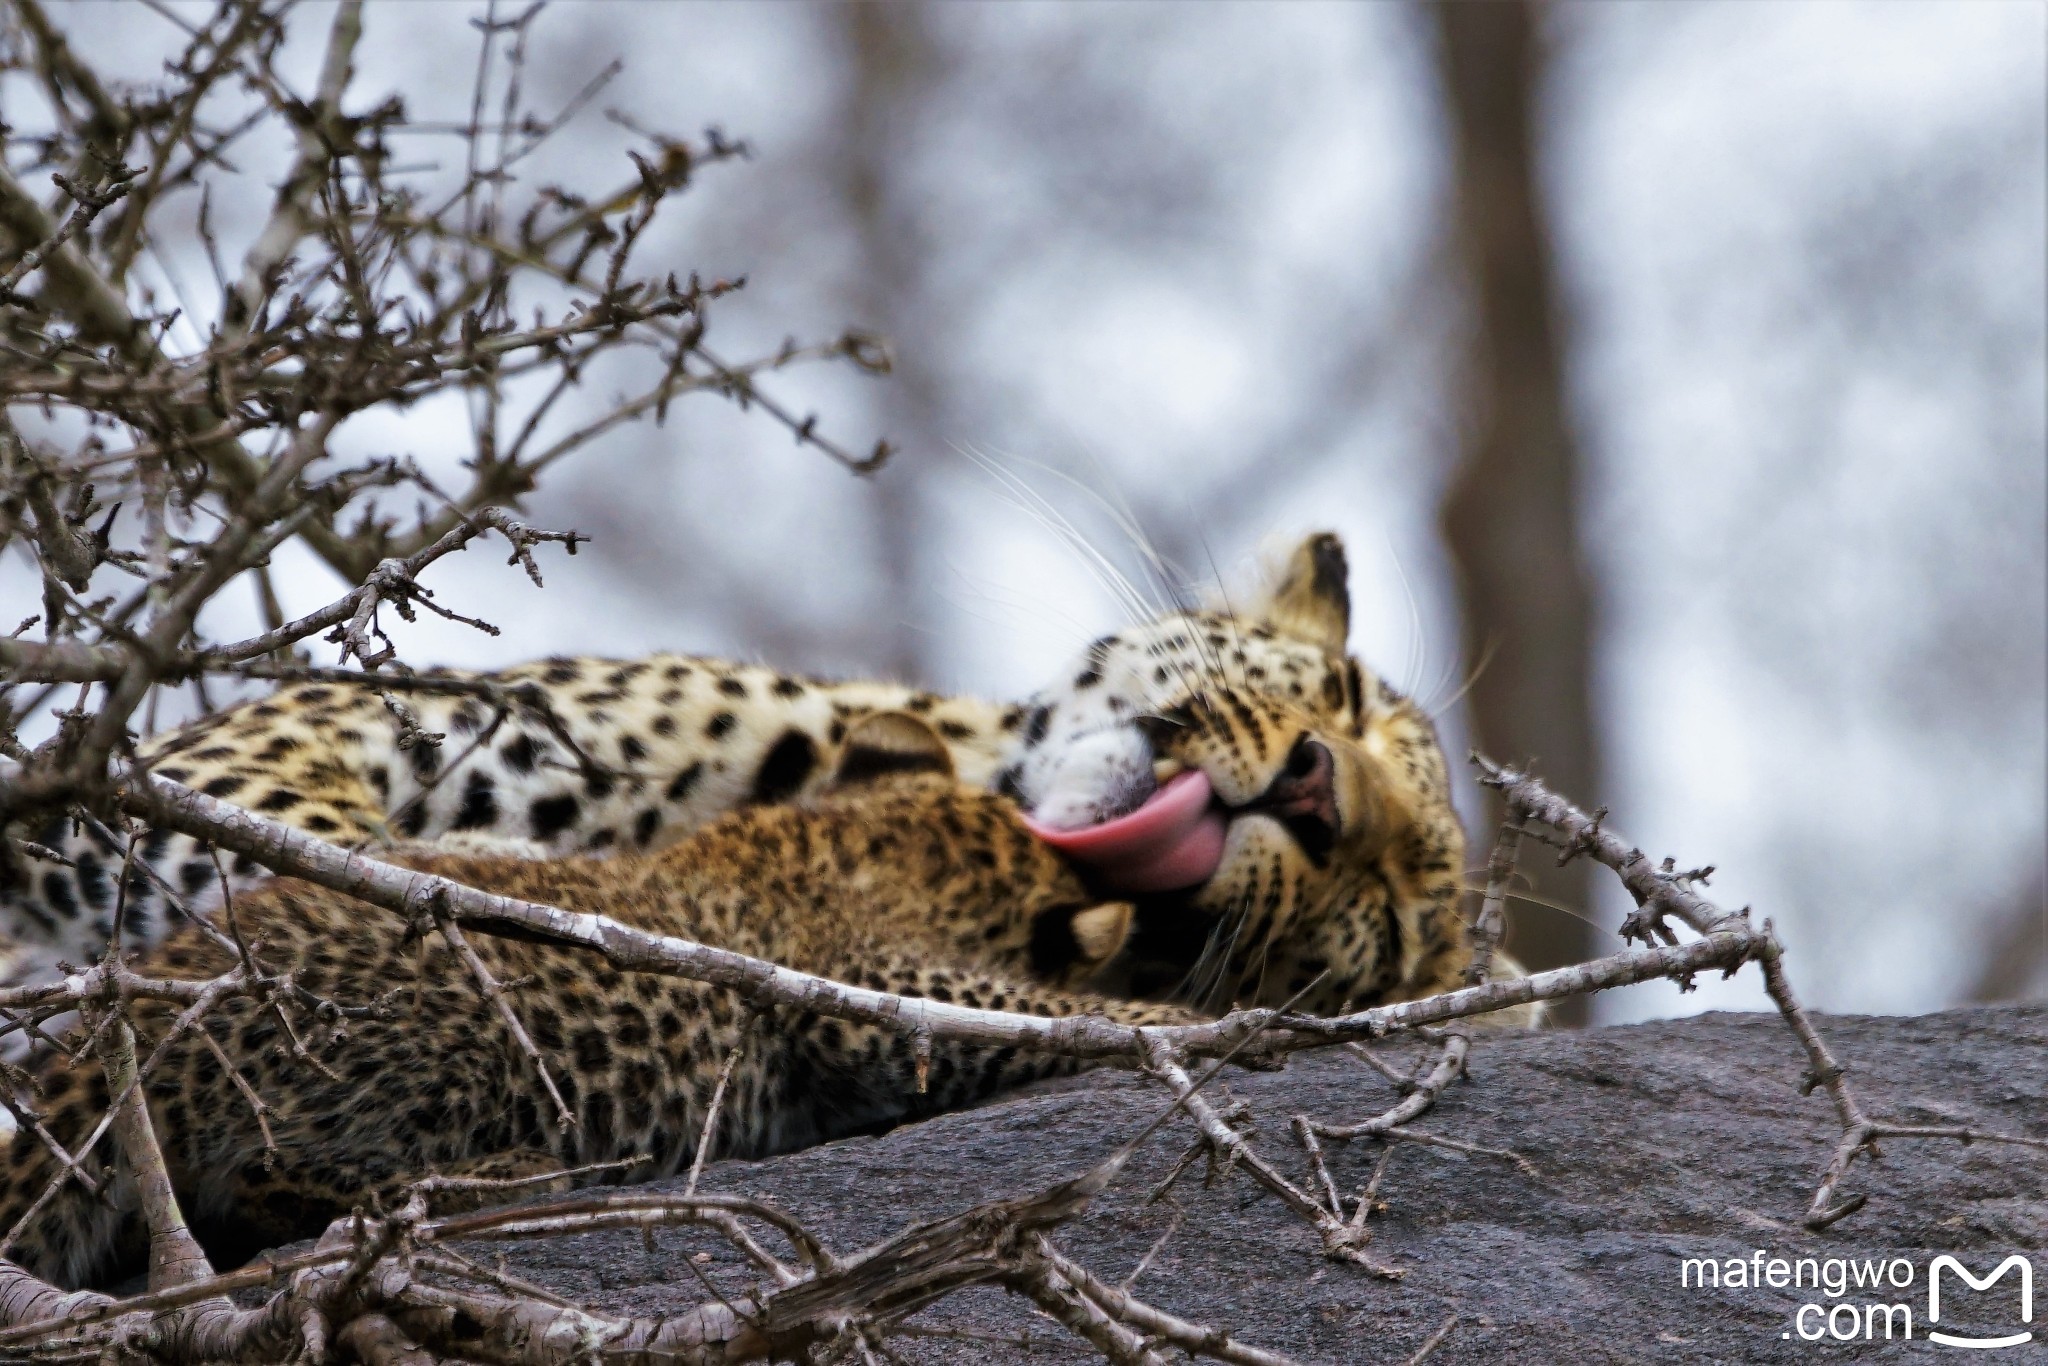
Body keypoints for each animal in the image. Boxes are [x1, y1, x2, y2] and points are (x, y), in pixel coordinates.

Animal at [0, 716, 1196, 1294]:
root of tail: (116, 1031)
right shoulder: (863, 998)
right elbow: (1015, 1011)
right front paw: (1198, 1030)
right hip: (448, 1044)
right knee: (262, 1183)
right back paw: (509, 1176)